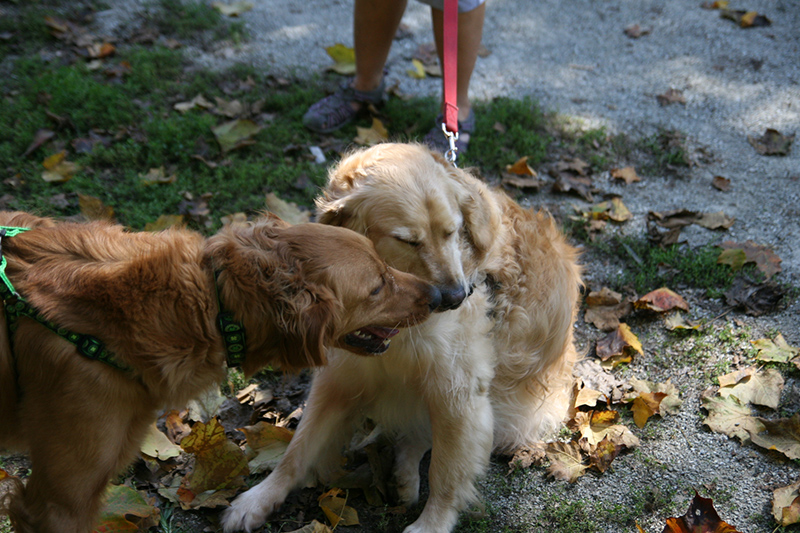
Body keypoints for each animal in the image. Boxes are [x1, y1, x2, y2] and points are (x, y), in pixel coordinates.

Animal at [222, 142, 584, 532]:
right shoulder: (339, 379)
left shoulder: (458, 393)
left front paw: (431, 524)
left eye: (452, 232)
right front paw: (258, 498)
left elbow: (446, 474)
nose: (456, 297)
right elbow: (297, 449)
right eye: (407, 241)